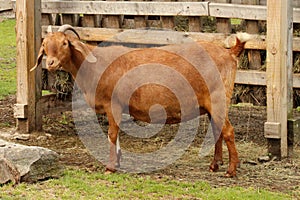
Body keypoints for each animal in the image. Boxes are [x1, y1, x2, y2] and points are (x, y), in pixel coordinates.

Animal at [32, 25, 252, 177]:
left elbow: (112, 134)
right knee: (218, 130)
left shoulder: (113, 104)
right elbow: (116, 135)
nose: (50, 63)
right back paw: (214, 165)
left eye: (64, 43)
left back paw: (231, 170)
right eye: (44, 45)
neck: (95, 65)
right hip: (212, 104)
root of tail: (230, 52)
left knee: (228, 131)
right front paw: (118, 162)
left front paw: (110, 167)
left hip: (218, 99)